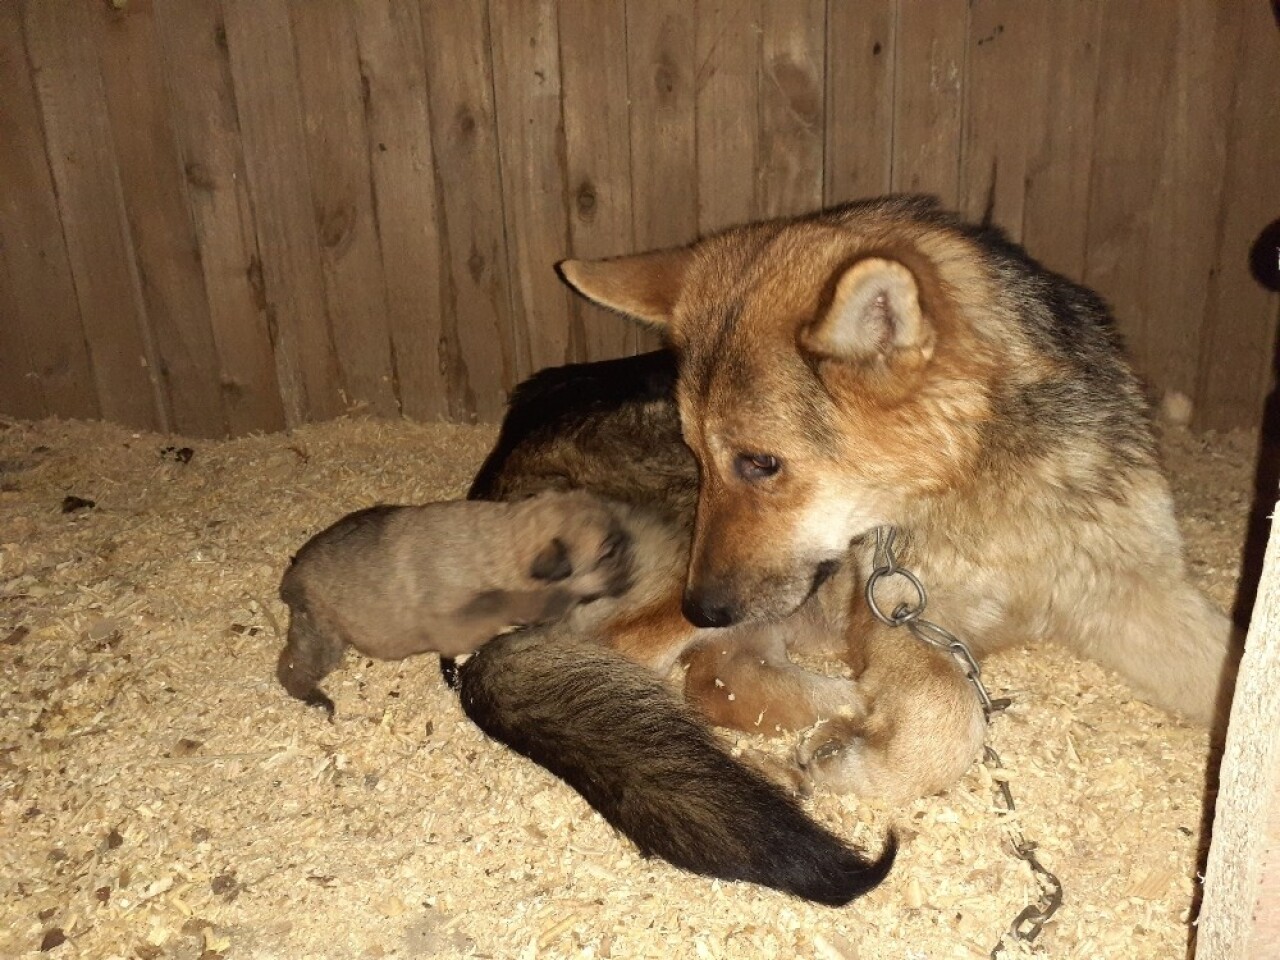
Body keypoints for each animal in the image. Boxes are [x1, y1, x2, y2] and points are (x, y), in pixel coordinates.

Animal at [281, 491, 640, 716]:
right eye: (608, 552)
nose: (634, 573)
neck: (501, 546)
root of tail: (293, 573)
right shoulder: (458, 617)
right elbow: (502, 605)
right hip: (322, 634)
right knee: (290, 669)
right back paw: (317, 700)